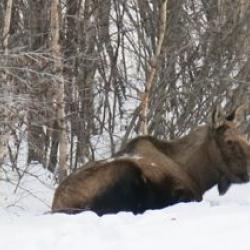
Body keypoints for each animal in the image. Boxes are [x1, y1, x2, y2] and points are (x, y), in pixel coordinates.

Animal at [51, 105, 250, 215]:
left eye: (244, 136)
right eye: (229, 141)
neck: (197, 174)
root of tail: (57, 206)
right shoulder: (186, 194)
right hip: (127, 174)